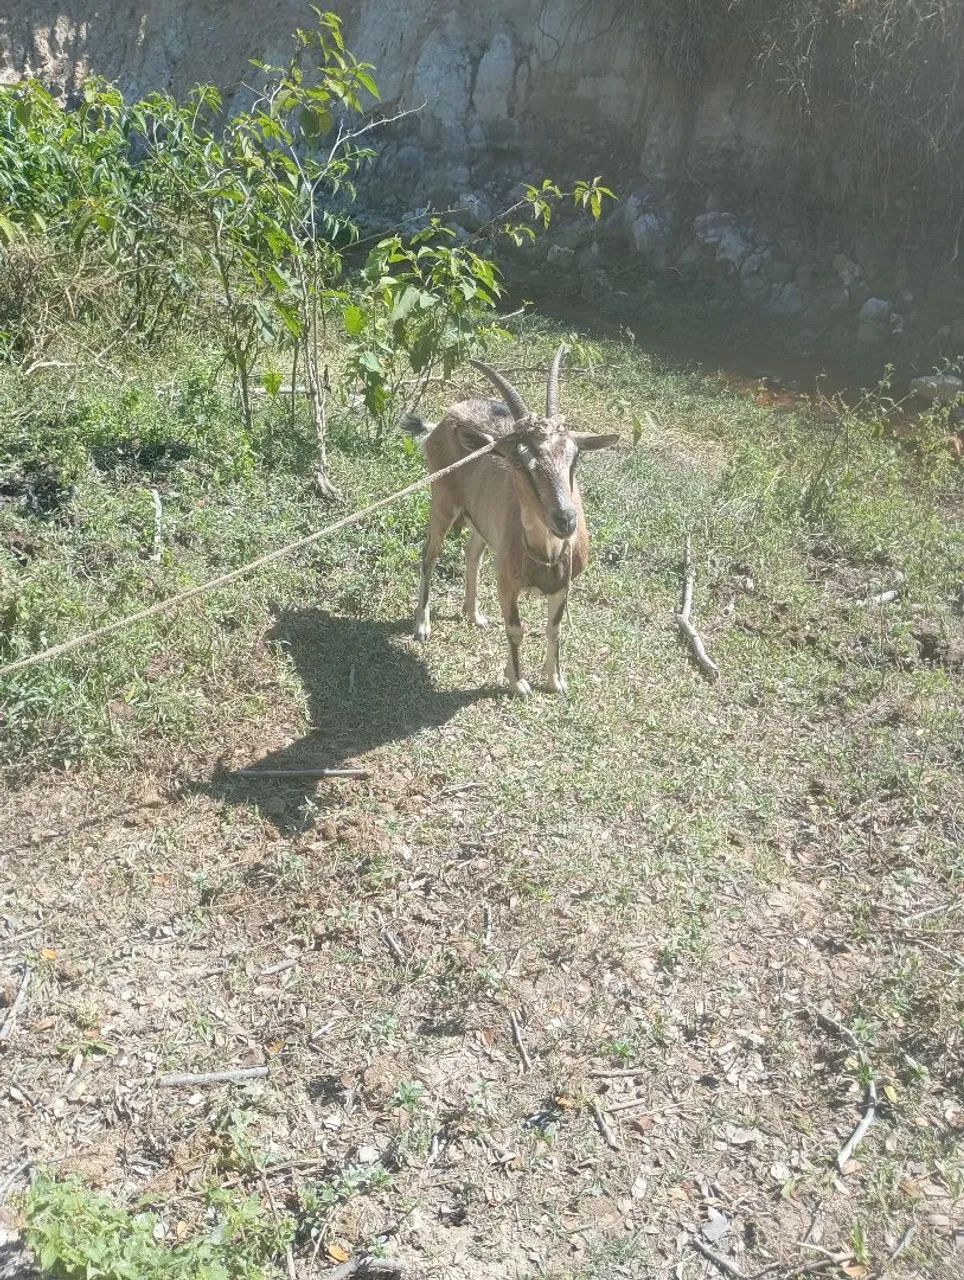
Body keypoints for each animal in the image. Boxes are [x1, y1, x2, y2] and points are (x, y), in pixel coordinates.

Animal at [403, 346, 619, 695]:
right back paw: (423, 625)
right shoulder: (507, 582)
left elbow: (554, 629)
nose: (565, 519)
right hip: (442, 502)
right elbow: (516, 628)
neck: (546, 554)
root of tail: (447, 416)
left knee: (472, 553)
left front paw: (555, 681)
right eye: (519, 463)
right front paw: (518, 682)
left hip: (482, 521)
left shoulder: (563, 585)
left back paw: (473, 614)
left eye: (575, 457)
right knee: (428, 556)